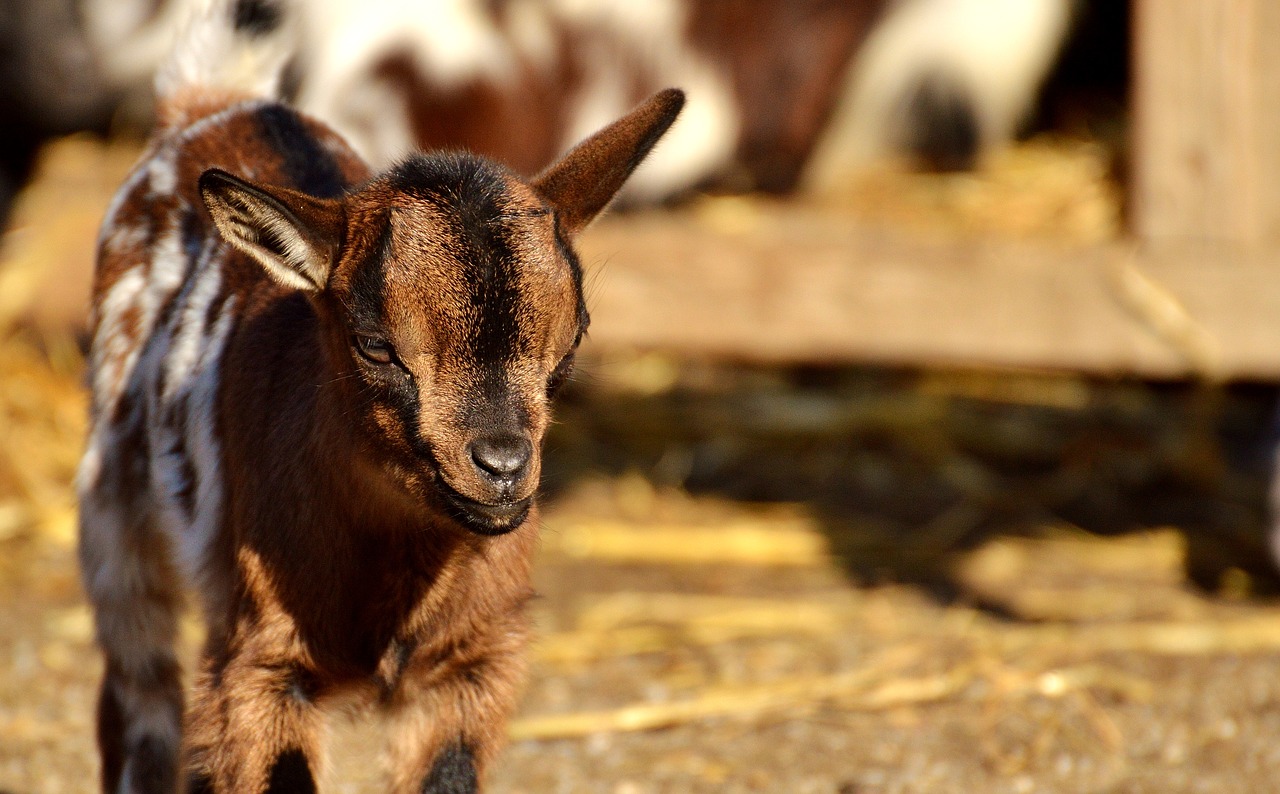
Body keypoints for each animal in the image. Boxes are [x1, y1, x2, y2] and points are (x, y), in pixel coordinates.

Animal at [74, 3, 686, 788]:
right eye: (374, 344)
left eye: (575, 335)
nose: (501, 467)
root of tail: (213, 103)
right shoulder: (263, 663)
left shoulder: (472, 663)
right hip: (112, 515)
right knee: (138, 693)